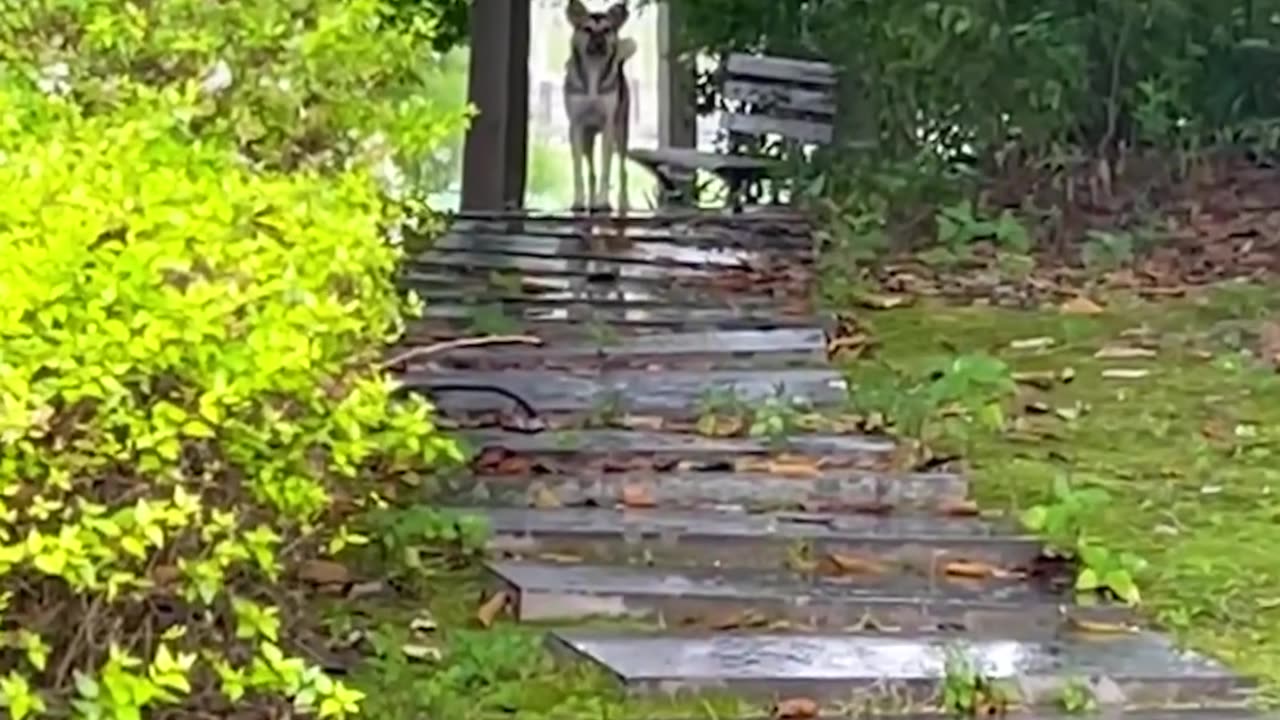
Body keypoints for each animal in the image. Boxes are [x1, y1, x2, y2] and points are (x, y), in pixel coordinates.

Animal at [565, 0, 634, 212]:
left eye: (607, 30)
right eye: (587, 29)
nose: (599, 43)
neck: (594, 69)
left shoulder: (609, 127)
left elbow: (606, 168)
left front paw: (604, 202)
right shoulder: (577, 127)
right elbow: (578, 168)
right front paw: (579, 201)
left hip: (621, 134)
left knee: (622, 169)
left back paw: (623, 202)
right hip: (588, 138)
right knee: (591, 171)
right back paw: (591, 200)